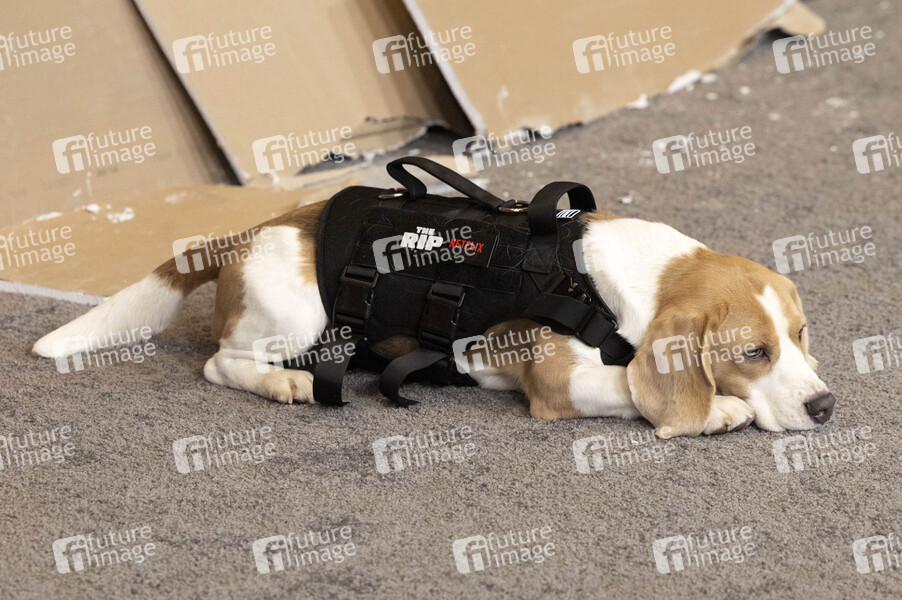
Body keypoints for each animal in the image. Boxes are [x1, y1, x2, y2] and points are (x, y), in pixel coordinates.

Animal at [32, 200, 836, 438]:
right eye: (753, 353)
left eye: (799, 337)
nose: (826, 407)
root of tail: (253, 229)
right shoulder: (561, 380)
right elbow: (631, 388)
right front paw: (718, 409)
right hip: (293, 314)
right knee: (218, 362)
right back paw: (283, 384)